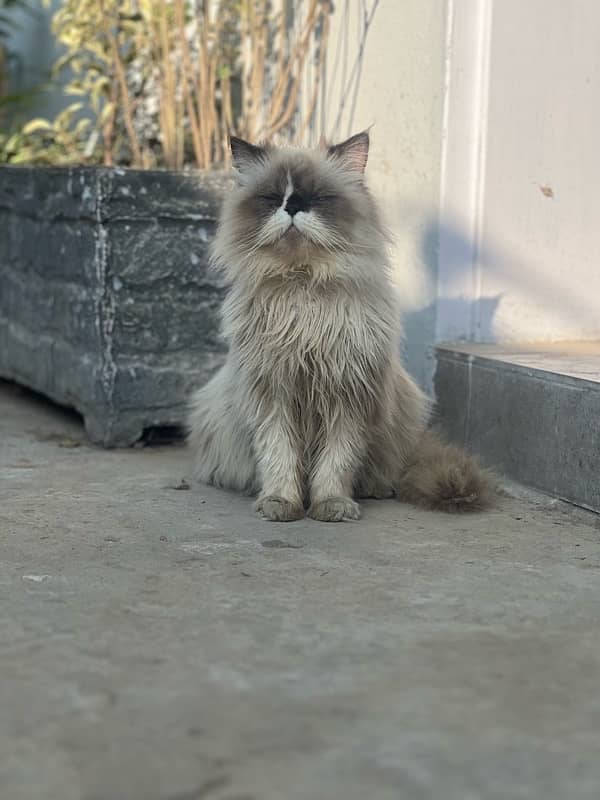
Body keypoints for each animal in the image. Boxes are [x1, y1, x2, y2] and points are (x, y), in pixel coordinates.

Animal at [189, 131, 492, 520]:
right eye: (273, 198)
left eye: (318, 198)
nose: (292, 207)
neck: (304, 288)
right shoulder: (274, 395)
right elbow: (279, 456)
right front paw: (281, 503)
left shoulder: (348, 396)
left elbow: (336, 462)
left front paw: (331, 505)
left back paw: (374, 489)